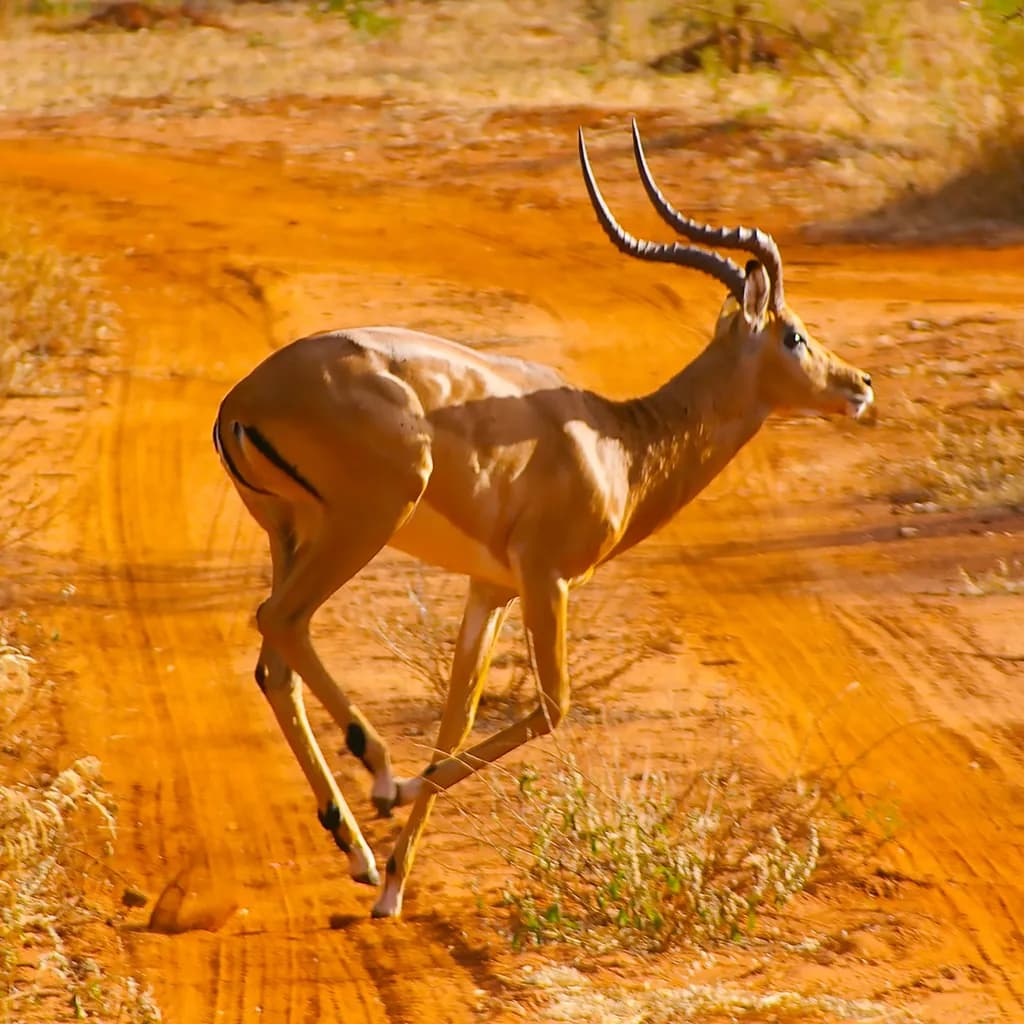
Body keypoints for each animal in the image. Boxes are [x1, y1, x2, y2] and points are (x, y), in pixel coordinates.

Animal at [213, 121, 874, 919]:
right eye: (793, 335)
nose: (860, 385)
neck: (621, 443)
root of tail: (241, 400)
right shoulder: (546, 578)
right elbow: (553, 708)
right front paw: (397, 797)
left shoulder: (490, 589)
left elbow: (456, 720)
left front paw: (397, 885)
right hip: (362, 524)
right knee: (280, 619)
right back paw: (378, 777)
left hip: (292, 535)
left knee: (274, 664)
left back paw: (361, 856)